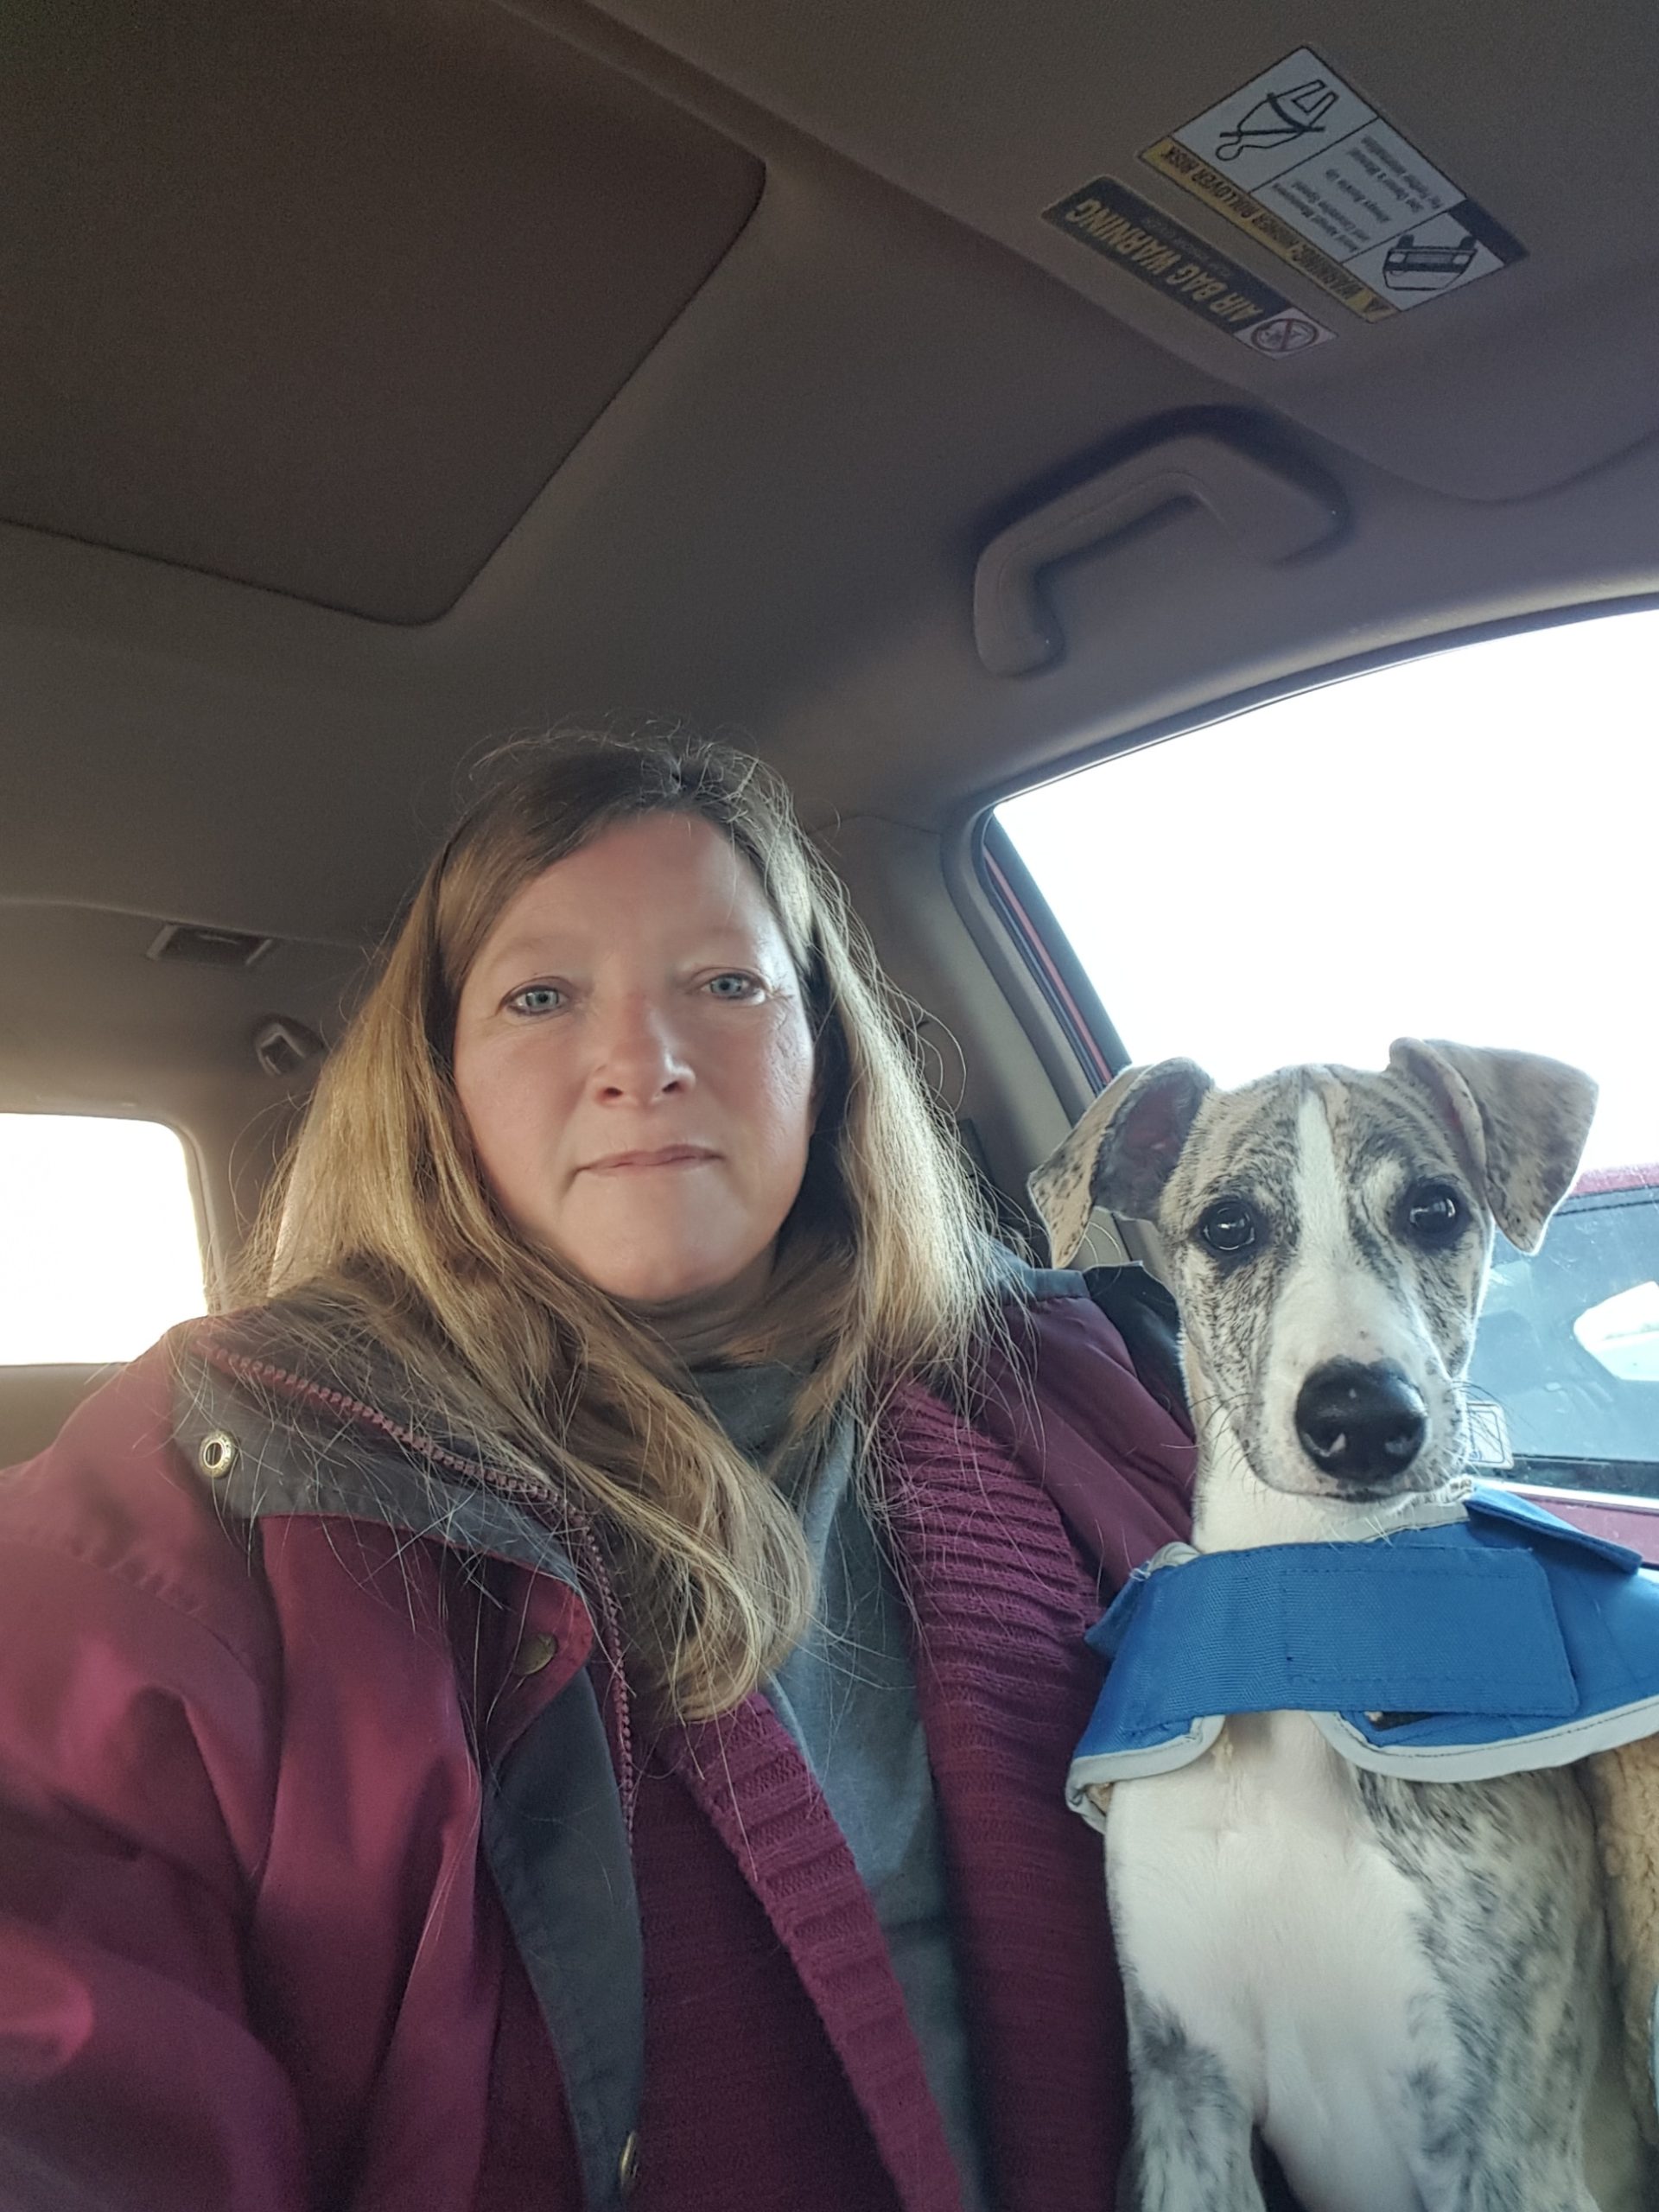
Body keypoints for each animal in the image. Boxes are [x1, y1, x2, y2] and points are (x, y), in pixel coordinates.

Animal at [1035, 1039, 1654, 2212]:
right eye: (1228, 1225)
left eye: (1436, 1209)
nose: (1364, 1420)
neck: (1304, 1605)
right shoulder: (1185, 2088)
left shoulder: (1507, 2131)